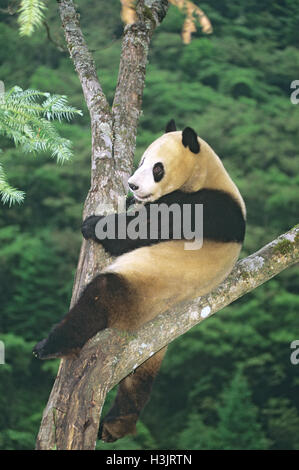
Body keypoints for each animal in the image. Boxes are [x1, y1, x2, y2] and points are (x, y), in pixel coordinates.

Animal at [34, 120, 247, 440]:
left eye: (157, 168)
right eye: (142, 160)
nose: (133, 186)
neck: (206, 175)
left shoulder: (206, 207)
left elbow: (142, 230)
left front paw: (93, 225)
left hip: (139, 287)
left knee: (100, 297)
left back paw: (52, 345)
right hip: (152, 336)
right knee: (141, 375)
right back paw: (117, 425)